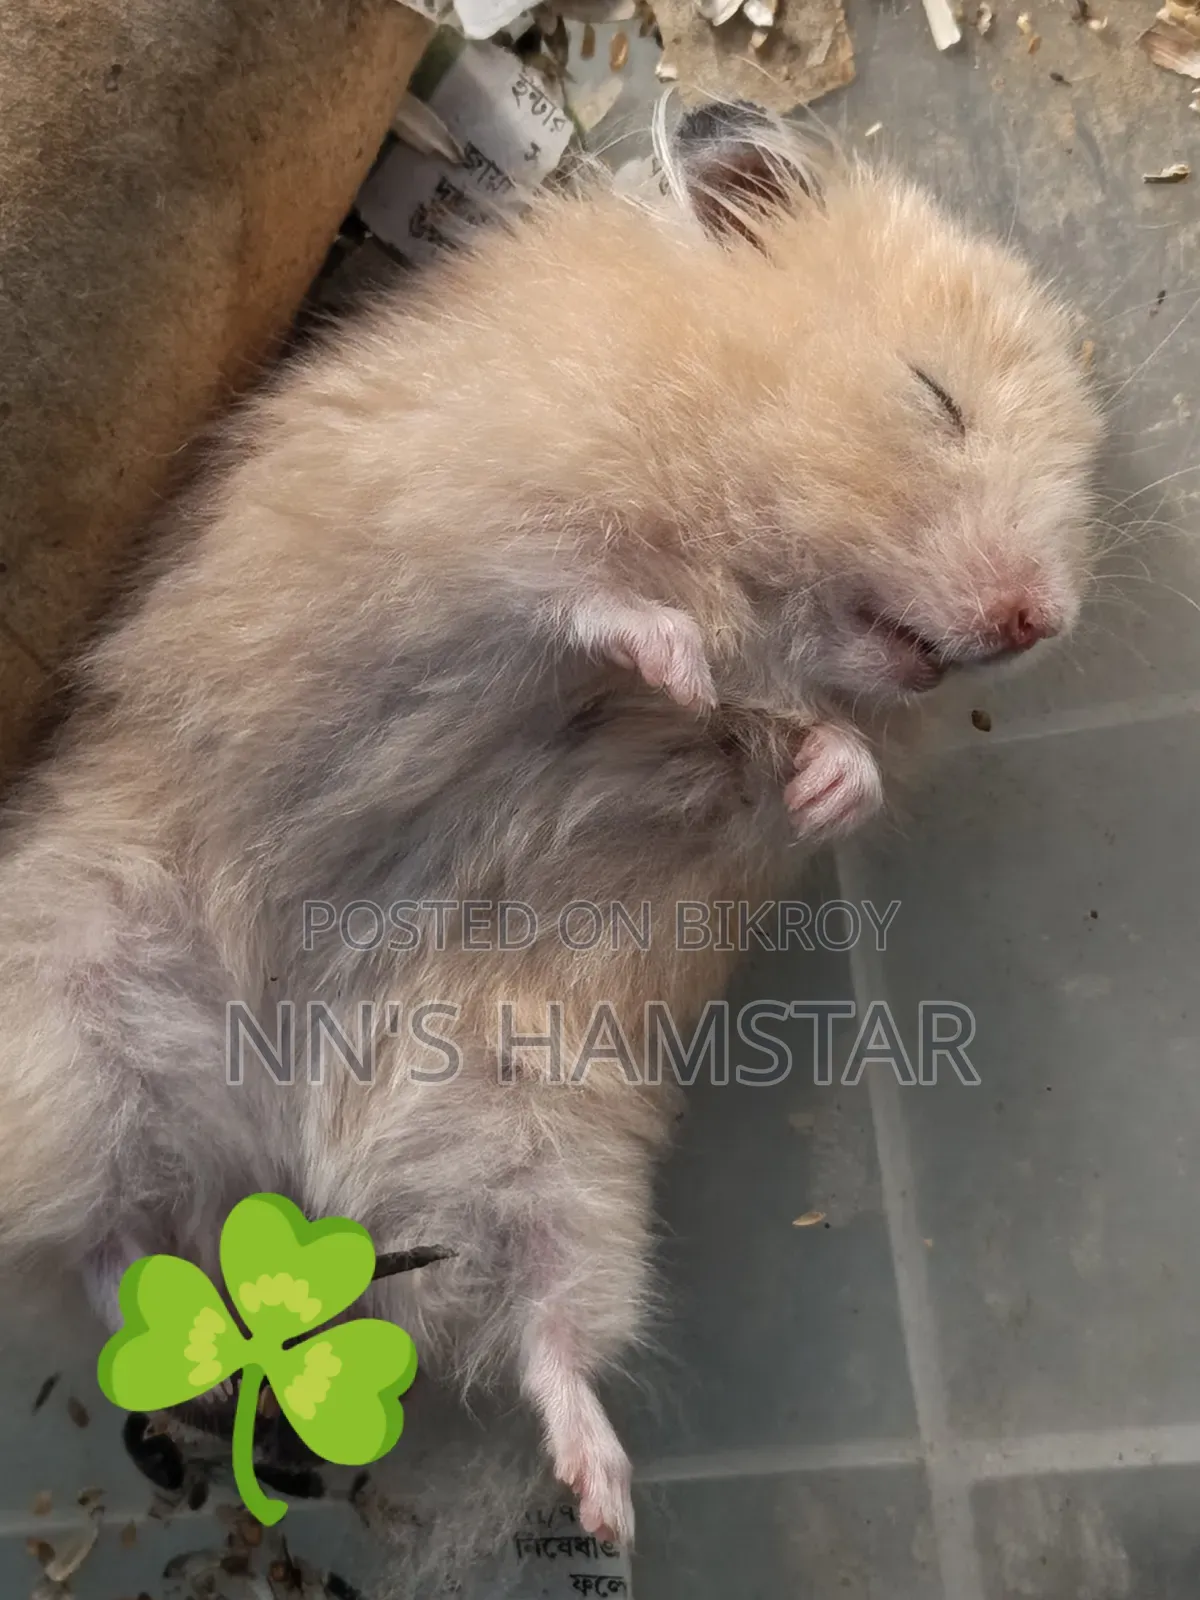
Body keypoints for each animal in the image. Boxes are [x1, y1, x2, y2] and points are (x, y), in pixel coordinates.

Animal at [0, 100, 1100, 1551]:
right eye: (934, 396)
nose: (1042, 620)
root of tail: (285, 1139)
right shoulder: (466, 515)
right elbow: (582, 592)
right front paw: (677, 656)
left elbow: (801, 753)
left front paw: (819, 772)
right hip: (76, 1005)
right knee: (97, 1241)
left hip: (533, 1120)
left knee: (537, 1326)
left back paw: (602, 1498)